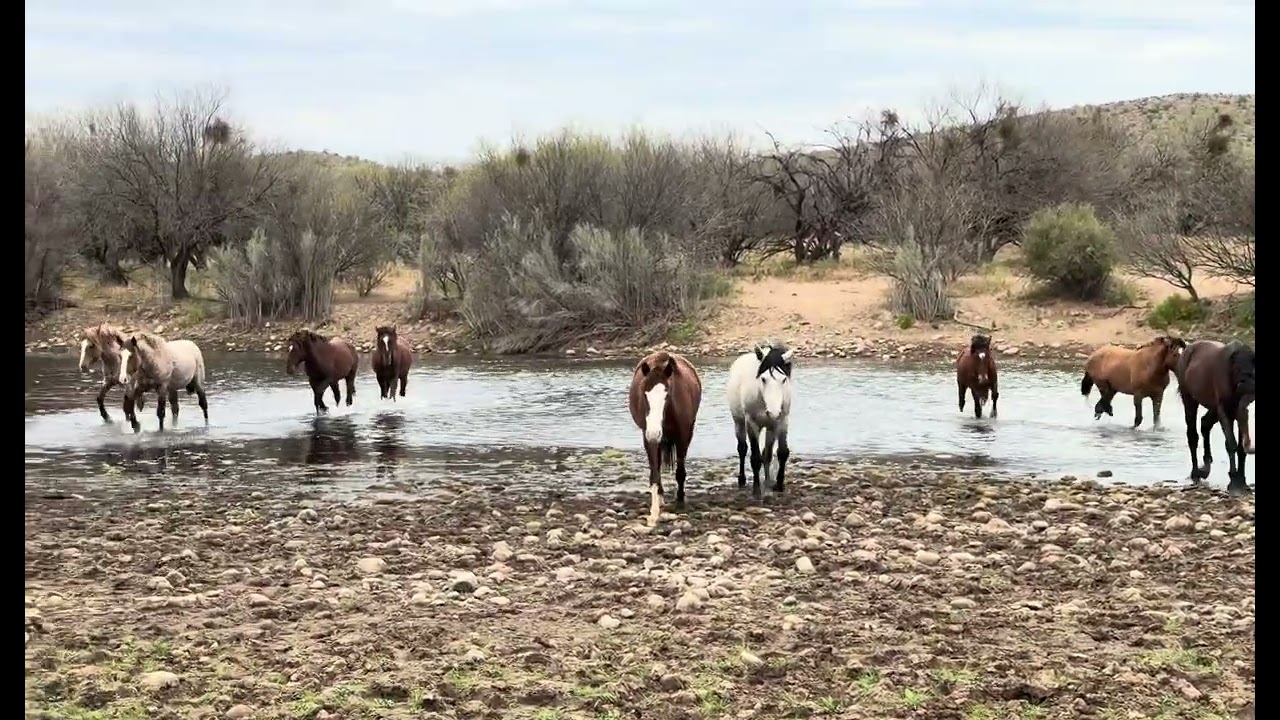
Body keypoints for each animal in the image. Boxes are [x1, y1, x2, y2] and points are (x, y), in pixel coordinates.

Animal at [627, 351, 703, 526]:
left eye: (666, 395)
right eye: (645, 394)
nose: (654, 432)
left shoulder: (684, 435)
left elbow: (680, 471)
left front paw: (680, 502)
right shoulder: (648, 437)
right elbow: (654, 473)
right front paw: (654, 512)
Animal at [726, 342, 795, 501]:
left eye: (783, 379)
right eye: (763, 379)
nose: (774, 412)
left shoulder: (782, 421)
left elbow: (782, 453)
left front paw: (779, 485)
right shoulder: (751, 424)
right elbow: (755, 458)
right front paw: (756, 490)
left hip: (771, 427)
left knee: (767, 453)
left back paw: (768, 481)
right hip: (739, 422)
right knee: (742, 449)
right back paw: (742, 480)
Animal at [1176, 340, 1256, 494]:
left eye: (1253, 365)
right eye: (1236, 366)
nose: (1245, 386)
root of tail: (1188, 348)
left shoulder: (1236, 412)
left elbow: (1241, 448)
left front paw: (1242, 481)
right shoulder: (1225, 410)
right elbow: (1231, 444)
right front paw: (1233, 480)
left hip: (1213, 408)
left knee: (1205, 424)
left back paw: (1205, 468)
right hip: (1189, 399)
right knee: (1193, 435)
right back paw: (1196, 473)